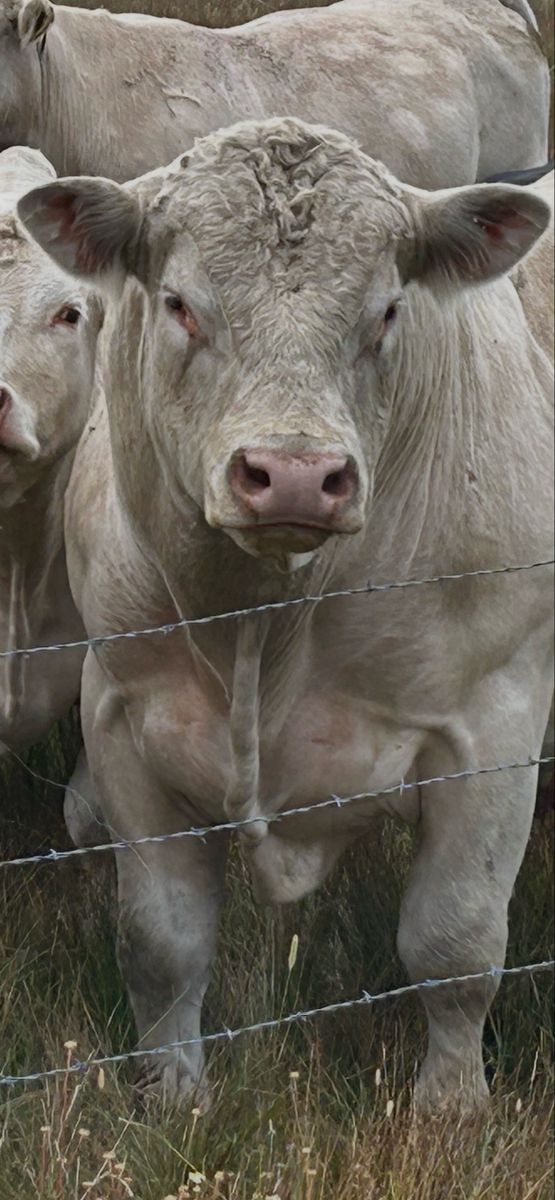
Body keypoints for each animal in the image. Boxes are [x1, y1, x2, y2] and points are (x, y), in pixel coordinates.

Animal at [18, 117, 554, 1114]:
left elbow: (454, 943)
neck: (262, 627)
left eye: (386, 312)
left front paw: (450, 1108)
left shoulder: (493, 721)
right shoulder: (122, 720)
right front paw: (173, 1098)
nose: (297, 475)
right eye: (180, 304)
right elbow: (159, 945)